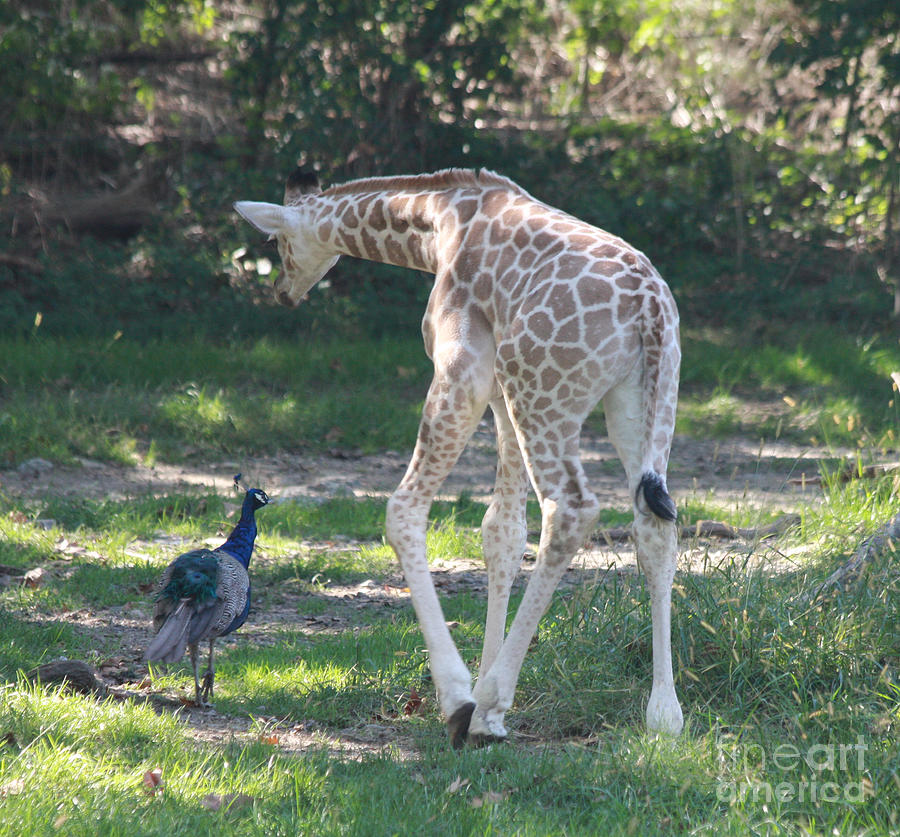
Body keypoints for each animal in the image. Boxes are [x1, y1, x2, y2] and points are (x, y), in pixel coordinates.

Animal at [236, 168, 684, 744]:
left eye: (276, 241)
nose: (283, 292)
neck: (436, 226)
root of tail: (650, 310)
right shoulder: (499, 394)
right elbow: (502, 532)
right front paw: (488, 699)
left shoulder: (463, 372)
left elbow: (404, 511)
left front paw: (464, 700)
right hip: (639, 401)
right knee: (652, 523)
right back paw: (664, 713)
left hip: (544, 395)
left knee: (571, 509)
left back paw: (490, 699)